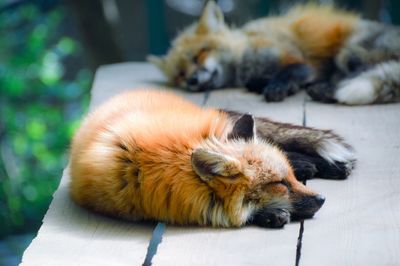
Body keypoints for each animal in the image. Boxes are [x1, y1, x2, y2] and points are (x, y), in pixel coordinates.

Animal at [149, 1, 400, 105]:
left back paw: (324, 89)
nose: (192, 80)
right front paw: (263, 84)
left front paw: (277, 86)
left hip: (348, 53)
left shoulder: (296, 59)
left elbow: (287, 73)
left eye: (199, 54)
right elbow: (259, 81)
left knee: (355, 75)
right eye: (180, 75)